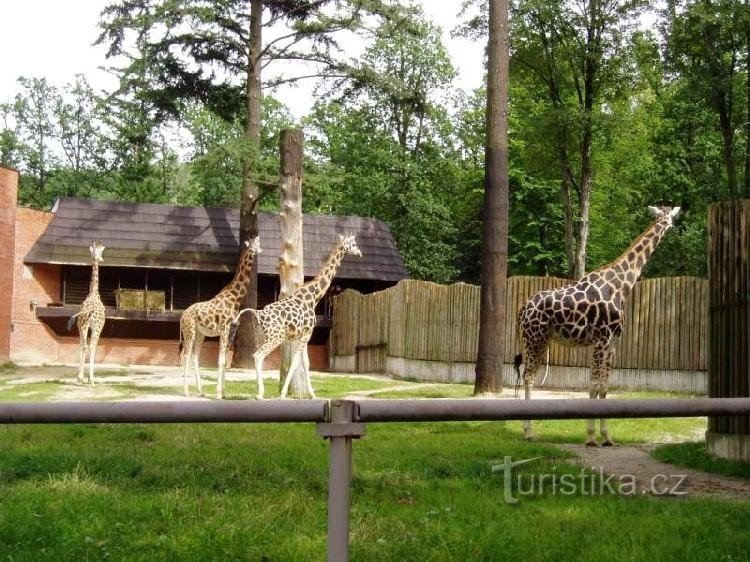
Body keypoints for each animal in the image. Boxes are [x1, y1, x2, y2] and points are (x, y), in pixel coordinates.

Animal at [67, 241, 107, 384]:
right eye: (101, 252)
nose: (101, 259)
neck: (93, 293)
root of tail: (90, 311)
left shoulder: (81, 326)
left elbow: (80, 345)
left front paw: (80, 377)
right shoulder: (98, 327)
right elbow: (92, 347)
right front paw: (87, 377)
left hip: (83, 325)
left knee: (83, 345)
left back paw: (81, 378)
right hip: (96, 327)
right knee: (91, 346)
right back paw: (91, 379)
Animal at [181, 235, 262, 398]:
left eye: (258, 243)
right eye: (251, 246)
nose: (258, 251)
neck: (235, 297)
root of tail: (181, 316)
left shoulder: (232, 330)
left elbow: (225, 361)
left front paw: (223, 392)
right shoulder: (224, 328)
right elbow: (220, 360)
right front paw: (218, 393)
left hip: (200, 333)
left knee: (195, 356)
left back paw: (200, 391)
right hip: (189, 332)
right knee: (186, 356)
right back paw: (186, 391)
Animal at [232, 232, 364, 398]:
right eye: (353, 244)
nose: (360, 252)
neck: (313, 296)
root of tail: (258, 314)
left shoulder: (302, 335)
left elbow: (305, 363)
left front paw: (312, 394)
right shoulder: (307, 333)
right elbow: (296, 363)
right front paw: (283, 393)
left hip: (264, 336)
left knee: (255, 355)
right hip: (276, 337)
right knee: (258, 355)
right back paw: (260, 393)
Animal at [516, 203, 680, 444]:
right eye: (667, 218)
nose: (670, 226)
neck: (622, 284)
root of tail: (523, 310)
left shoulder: (613, 342)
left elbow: (604, 386)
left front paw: (607, 437)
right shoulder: (602, 339)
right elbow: (593, 384)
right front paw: (591, 436)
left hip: (542, 340)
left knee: (530, 375)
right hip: (534, 338)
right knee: (527, 377)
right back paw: (528, 432)